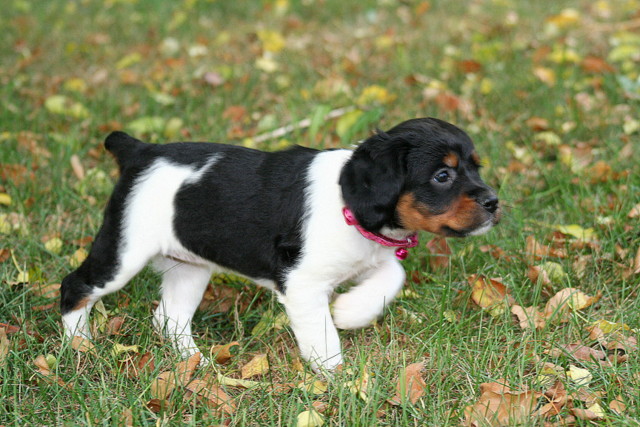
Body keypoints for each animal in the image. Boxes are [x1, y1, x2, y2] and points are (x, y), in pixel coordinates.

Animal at [60, 117, 500, 372]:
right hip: (123, 251)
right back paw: (80, 345)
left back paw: (194, 362)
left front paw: (352, 311)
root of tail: (142, 151)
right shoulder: (302, 285)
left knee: (169, 318)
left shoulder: (374, 255)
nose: (494, 202)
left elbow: (395, 273)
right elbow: (323, 336)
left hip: (190, 267)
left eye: (476, 167)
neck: (349, 205)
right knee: (75, 286)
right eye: (443, 175)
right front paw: (334, 376)